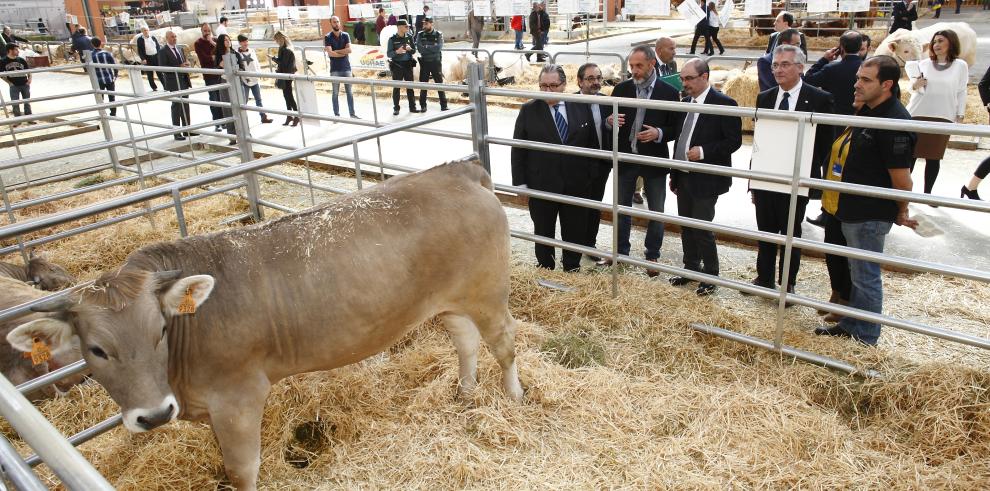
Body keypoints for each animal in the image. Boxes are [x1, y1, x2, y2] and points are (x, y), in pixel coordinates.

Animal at [7, 160, 528, 490]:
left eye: (159, 331)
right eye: (96, 350)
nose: (153, 416)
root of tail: (455, 171)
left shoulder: (237, 397)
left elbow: (242, 469)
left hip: (488, 292)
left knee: (504, 343)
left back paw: (514, 397)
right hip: (449, 303)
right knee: (465, 342)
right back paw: (464, 393)